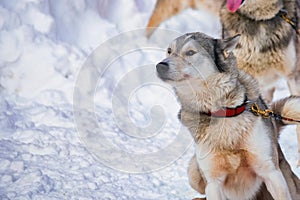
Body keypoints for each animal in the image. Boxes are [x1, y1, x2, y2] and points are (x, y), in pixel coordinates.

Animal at [157, 32, 300, 199]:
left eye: (190, 52)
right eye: (169, 51)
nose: (160, 66)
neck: (223, 112)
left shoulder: (271, 172)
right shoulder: (213, 183)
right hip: (193, 172)